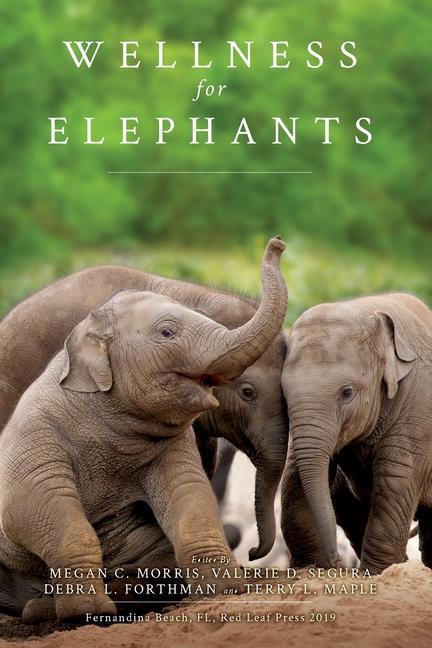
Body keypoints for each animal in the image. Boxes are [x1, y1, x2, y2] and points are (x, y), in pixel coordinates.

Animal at [281, 292, 432, 575]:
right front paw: (311, 568)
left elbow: (395, 478)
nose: (336, 562)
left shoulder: (420, 407)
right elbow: (295, 474)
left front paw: (377, 573)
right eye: (282, 395)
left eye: (347, 392)